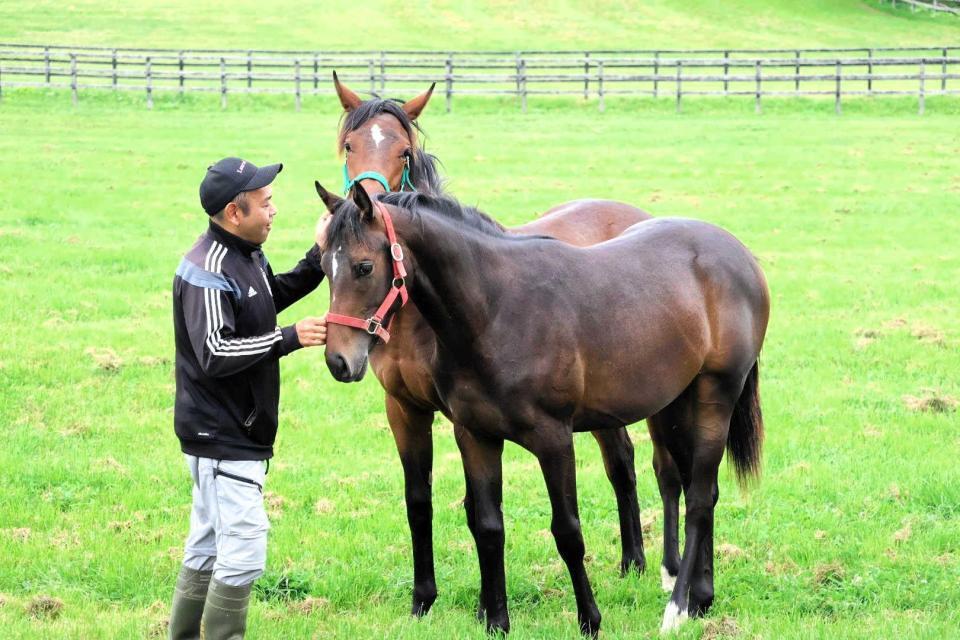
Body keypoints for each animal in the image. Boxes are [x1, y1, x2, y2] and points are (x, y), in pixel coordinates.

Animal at [318, 184, 769, 636]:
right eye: (323, 265)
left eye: (363, 266)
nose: (338, 361)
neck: (496, 310)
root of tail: (738, 253)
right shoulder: (477, 436)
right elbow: (488, 526)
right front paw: (497, 622)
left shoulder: (553, 440)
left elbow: (567, 531)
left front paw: (590, 620)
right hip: (676, 403)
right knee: (694, 487)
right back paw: (701, 598)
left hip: (715, 397)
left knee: (697, 498)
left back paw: (676, 608)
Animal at [328, 73, 687, 617]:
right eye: (349, 144)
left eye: (404, 151)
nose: (366, 202)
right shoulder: (407, 410)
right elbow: (423, 503)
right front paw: (424, 599)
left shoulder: (462, 419)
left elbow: (476, 510)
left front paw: (484, 605)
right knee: (621, 462)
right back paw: (633, 562)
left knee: (652, 468)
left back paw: (657, 566)